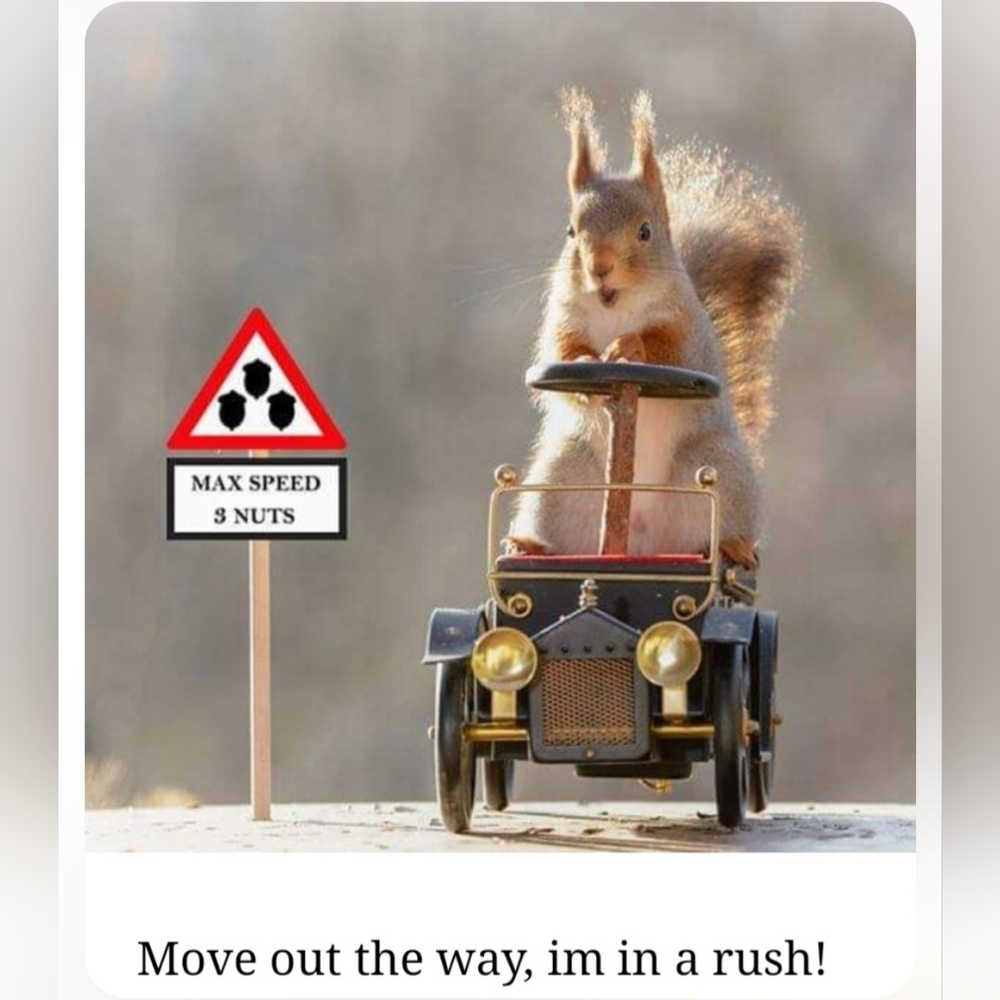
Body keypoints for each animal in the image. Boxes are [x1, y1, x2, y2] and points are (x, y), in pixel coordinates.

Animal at [504, 89, 804, 569]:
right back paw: (529, 545)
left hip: (715, 467)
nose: (600, 268)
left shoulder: (687, 332)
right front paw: (588, 359)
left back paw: (733, 545)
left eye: (645, 232)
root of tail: (640, 539)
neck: (615, 308)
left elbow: (667, 349)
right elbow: (562, 354)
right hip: (561, 478)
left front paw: (629, 345)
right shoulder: (561, 320)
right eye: (570, 231)